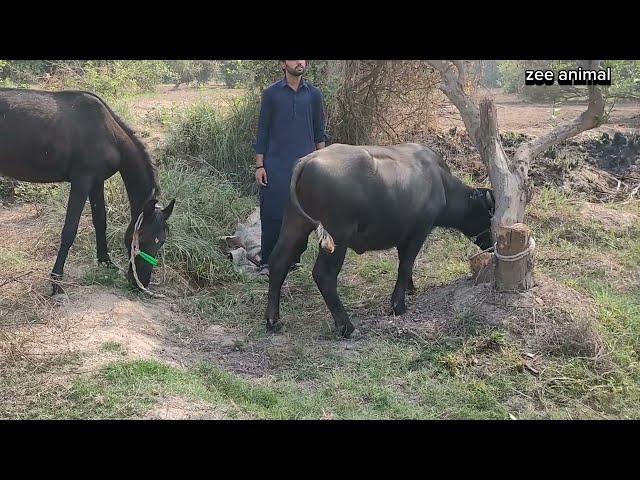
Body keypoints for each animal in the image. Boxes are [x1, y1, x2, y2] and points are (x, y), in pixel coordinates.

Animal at [0, 86, 175, 296]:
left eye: (162, 241)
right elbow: (69, 230)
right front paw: (56, 282)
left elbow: (100, 221)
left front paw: (106, 262)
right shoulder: (82, 182)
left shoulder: (96, 182)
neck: (109, 134)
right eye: (141, 237)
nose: (140, 283)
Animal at [264, 142, 496, 338]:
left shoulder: (404, 236)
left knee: (278, 262)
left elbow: (405, 265)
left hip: (294, 224)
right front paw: (398, 305)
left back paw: (273, 320)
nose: (492, 245)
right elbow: (406, 265)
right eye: (490, 214)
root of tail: (307, 161)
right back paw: (347, 327)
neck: (441, 183)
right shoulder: (419, 231)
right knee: (324, 275)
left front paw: (410, 288)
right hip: (337, 236)